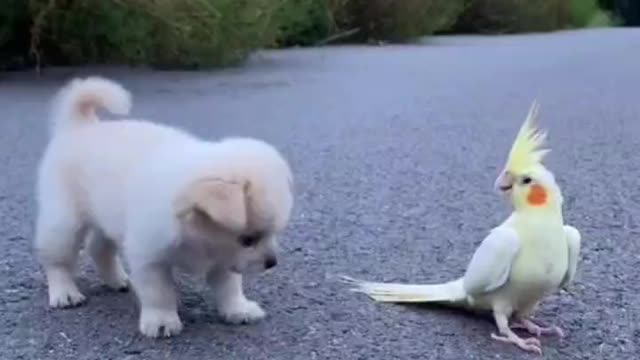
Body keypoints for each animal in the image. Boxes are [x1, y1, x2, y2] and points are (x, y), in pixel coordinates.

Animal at [33, 76, 294, 338]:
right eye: (248, 239)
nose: (272, 262)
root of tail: (80, 126)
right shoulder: (150, 259)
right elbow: (159, 293)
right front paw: (162, 321)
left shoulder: (224, 257)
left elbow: (230, 287)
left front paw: (238, 310)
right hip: (64, 223)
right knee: (57, 260)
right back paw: (65, 292)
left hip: (106, 218)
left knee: (98, 248)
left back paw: (117, 279)